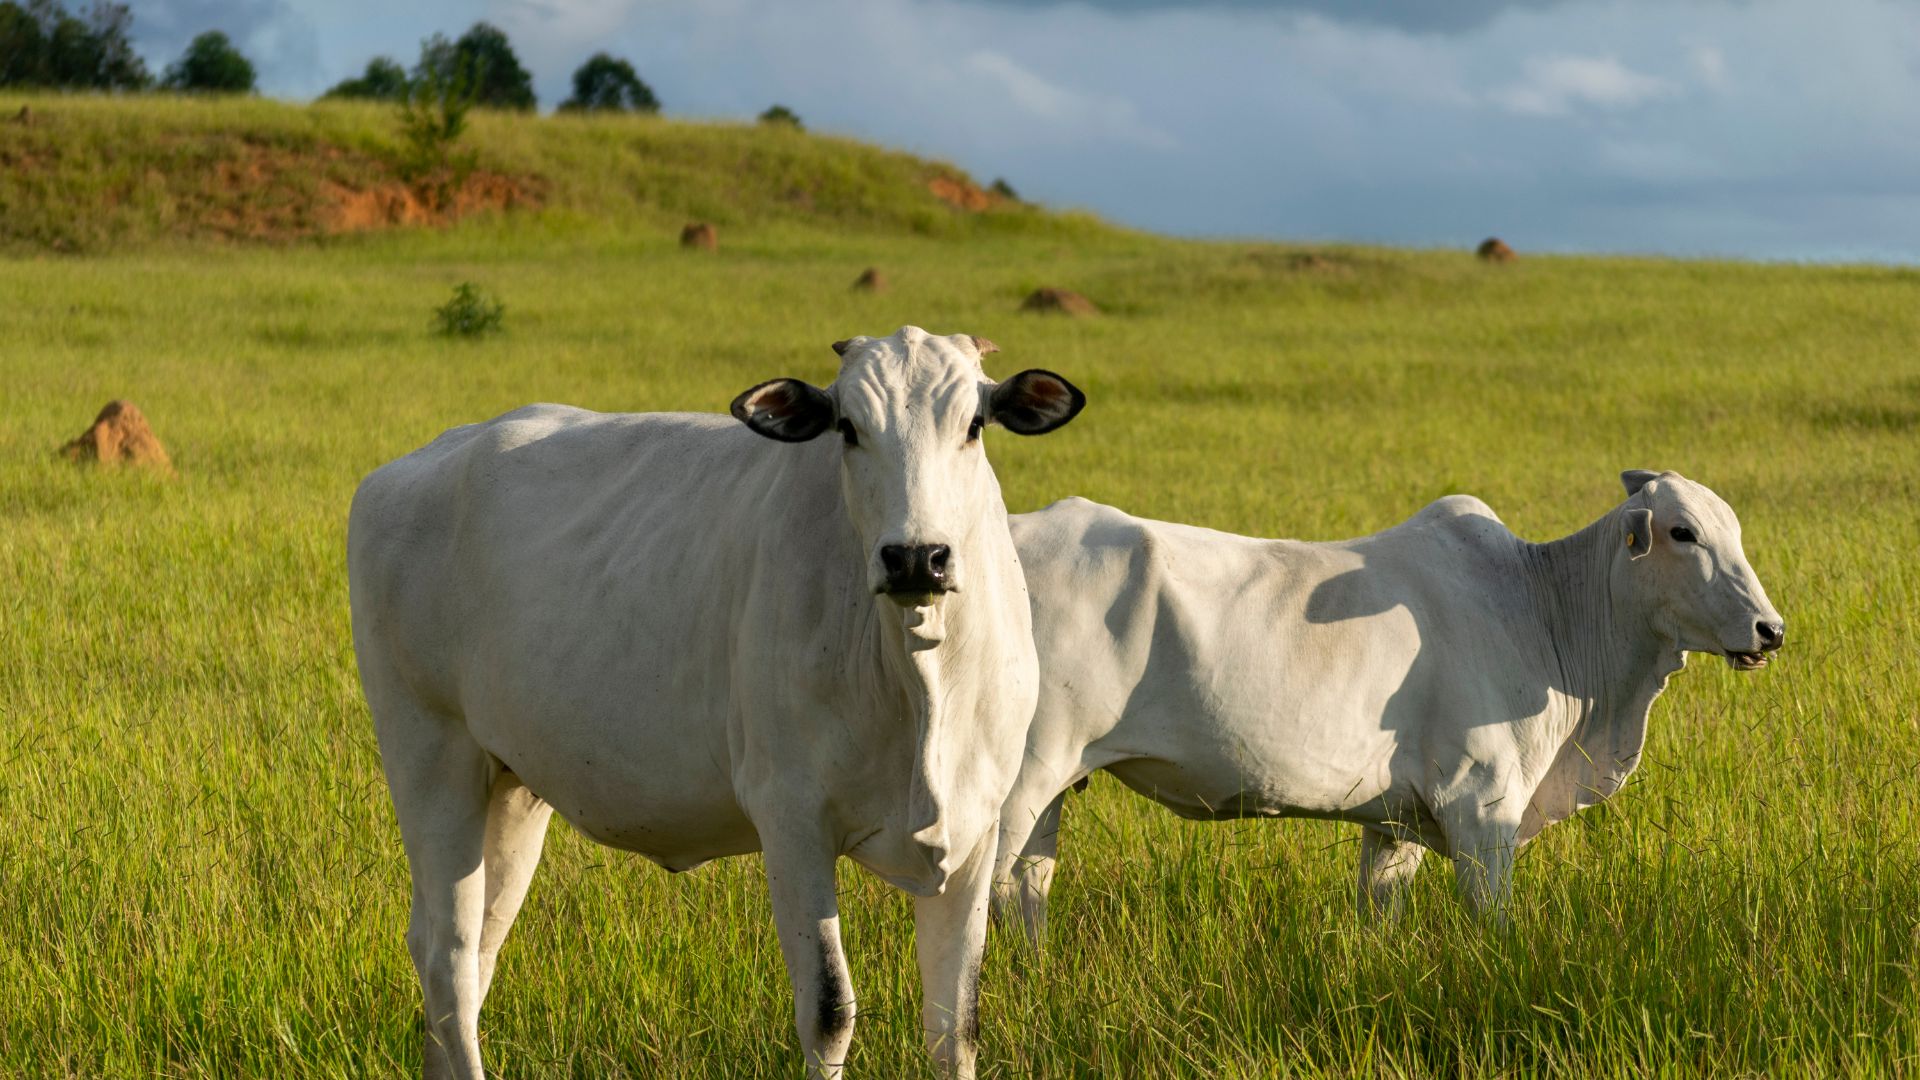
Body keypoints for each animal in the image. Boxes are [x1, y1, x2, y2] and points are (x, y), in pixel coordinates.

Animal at [347, 328, 1090, 1076]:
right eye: (848, 427)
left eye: (974, 425)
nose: (916, 558)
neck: (920, 681)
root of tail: (414, 465)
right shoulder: (792, 821)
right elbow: (829, 1013)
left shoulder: (977, 829)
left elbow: (954, 1026)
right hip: (429, 756)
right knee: (446, 953)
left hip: (512, 786)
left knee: (476, 951)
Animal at [1006, 466, 1781, 937]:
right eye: (1683, 532)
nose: (1770, 630)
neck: (1542, 608)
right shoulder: (1482, 809)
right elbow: (1494, 923)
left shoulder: (1395, 820)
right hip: (1020, 779)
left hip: (1054, 788)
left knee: (1028, 889)